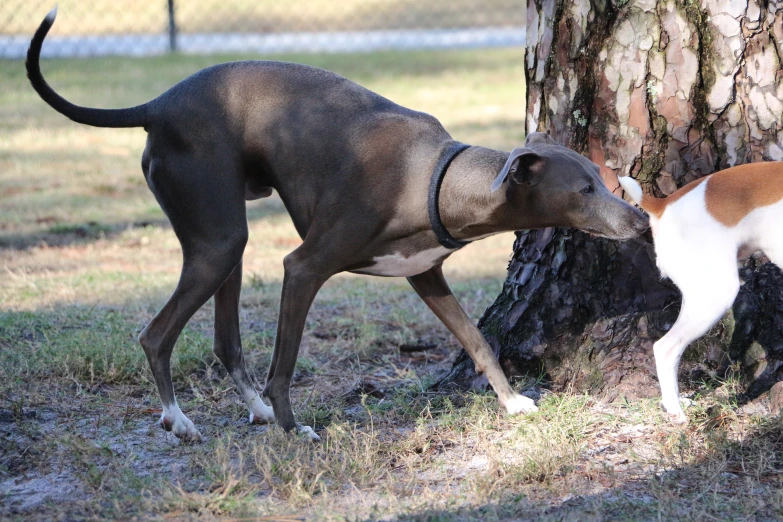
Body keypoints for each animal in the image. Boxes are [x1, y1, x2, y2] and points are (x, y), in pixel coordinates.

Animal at [26, 8, 648, 438]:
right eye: (585, 188)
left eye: (604, 179)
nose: (642, 220)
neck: (432, 176)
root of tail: (156, 104)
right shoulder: (303, 267)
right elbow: (285, 360)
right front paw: (292, 426)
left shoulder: (426, 275)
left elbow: (478, 341)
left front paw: (513, 401)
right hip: (217, 240)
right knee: (156, 335)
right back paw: (180, 419)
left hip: (226, 244)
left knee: (226, 341)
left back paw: (251, 410)